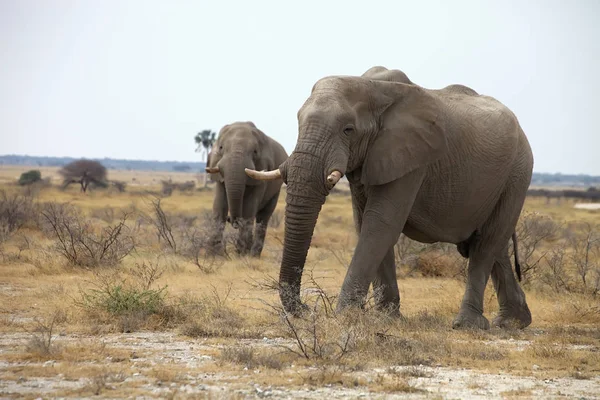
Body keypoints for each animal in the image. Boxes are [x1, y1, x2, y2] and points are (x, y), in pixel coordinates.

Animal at [205, 121, 288, 256]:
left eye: (255, 151)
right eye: (221, 148)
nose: (233, 220)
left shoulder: (263, 170)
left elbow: (249, 207)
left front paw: (242, 254)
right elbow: (219, 206)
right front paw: (213, 255)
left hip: (276, 190)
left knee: (263, 217)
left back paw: (254, 255)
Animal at [248, 65, 536, 328]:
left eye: (348, 129)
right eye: (298, 122)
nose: (308, 309)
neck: (373, 87)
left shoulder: (412, 157)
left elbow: (381, 222)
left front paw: (346, 317)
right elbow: (366, 223)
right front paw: (385, 318)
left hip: (517, 174)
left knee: (487, 243)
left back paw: (468, 325)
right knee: (493, 245)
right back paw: (513, 322)